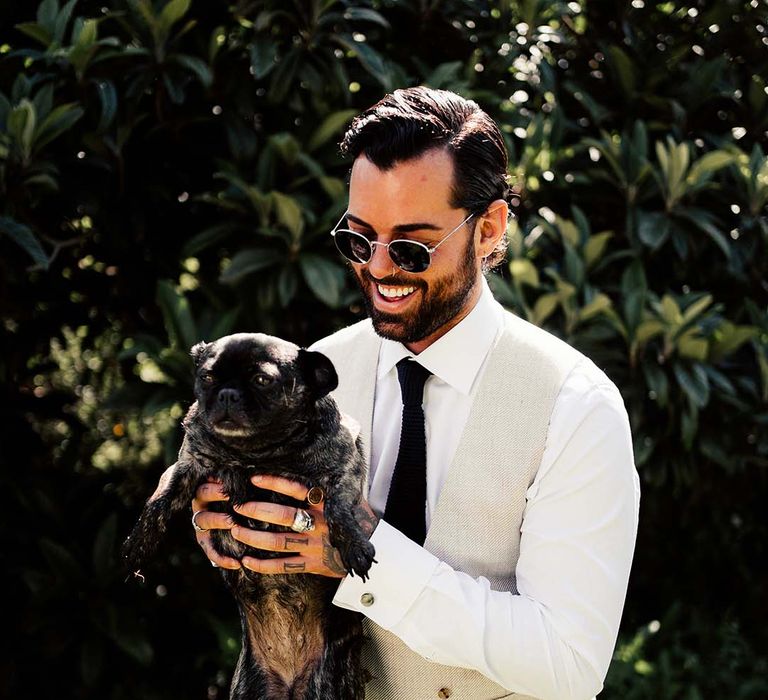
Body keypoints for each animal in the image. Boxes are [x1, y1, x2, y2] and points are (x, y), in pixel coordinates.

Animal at [121, 334, 376, 700]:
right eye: (207, 377)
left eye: (262, 380)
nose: (227, 393)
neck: (255, 453)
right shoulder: (186, 466)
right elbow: (158, 502)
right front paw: (137, 545)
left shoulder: (343, 468)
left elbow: (340, 507)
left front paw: (354, 544)